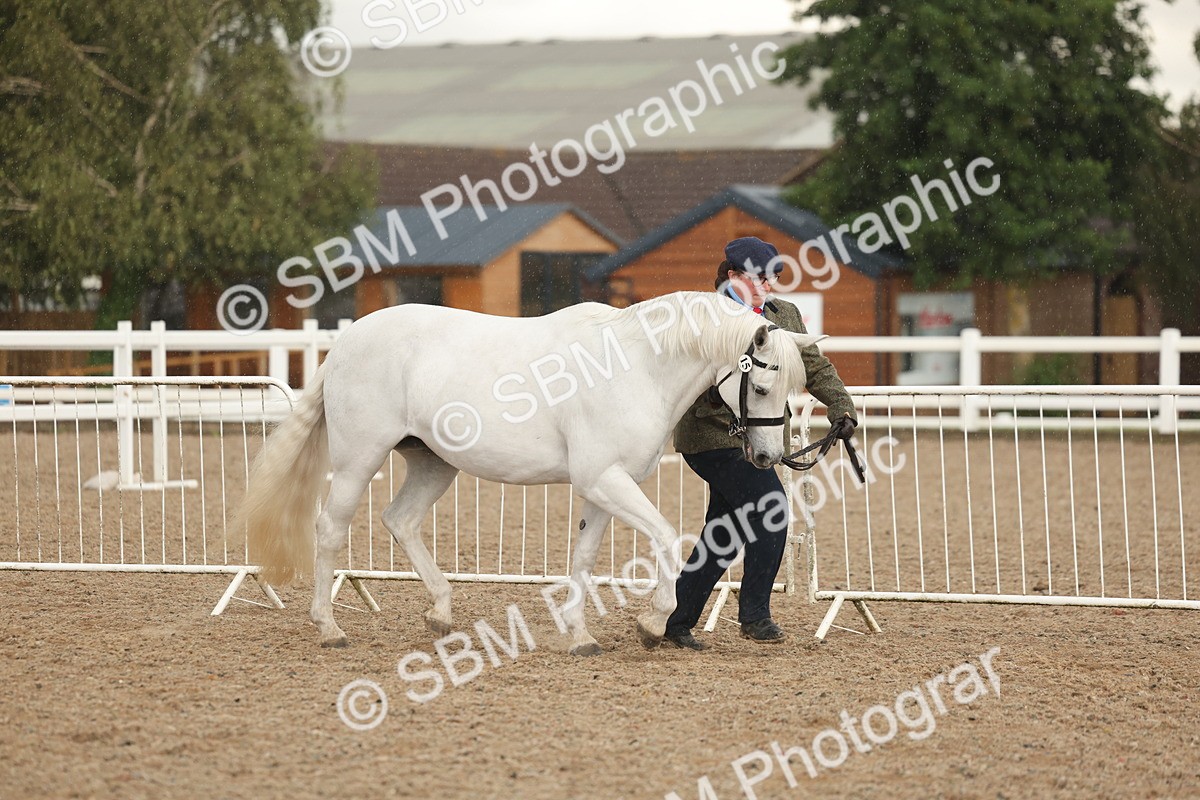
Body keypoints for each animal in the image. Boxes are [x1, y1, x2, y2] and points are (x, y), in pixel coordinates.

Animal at [237, 291, 824, 653]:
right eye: (763, 385)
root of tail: (343, 345)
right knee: (330, 529)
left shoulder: (601, 487)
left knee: (400, 520)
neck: (635, 369)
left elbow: (583, 557)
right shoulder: (605, 480)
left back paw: (441, 614)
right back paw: (329, 627)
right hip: (359, 457)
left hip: (433, 463)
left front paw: (580, 637)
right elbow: (663, 536)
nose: (767, 458)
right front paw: (652, 623)